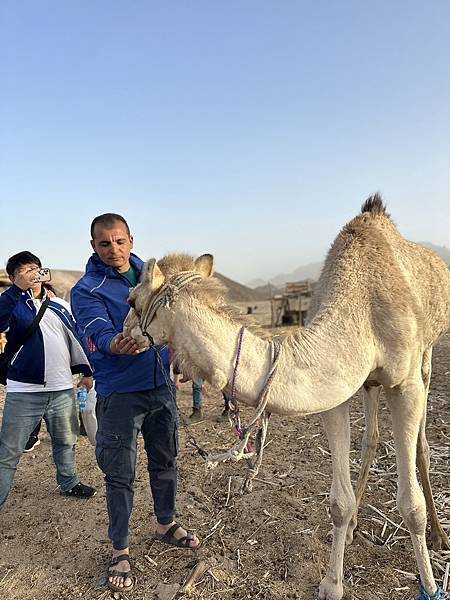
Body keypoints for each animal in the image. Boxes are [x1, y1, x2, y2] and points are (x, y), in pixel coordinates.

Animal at [123, 195, 450, 596]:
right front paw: (332, 584)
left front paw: (430, 586)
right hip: (367, 382)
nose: (122, 335)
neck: (362, 307)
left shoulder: (404, 383)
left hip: (424, 359)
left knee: (421, 444)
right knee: (371, 439)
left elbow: (411, 504)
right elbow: (338, 502)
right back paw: (355, 525)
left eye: (132, 300)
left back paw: (438, 536)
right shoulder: (335, 389)